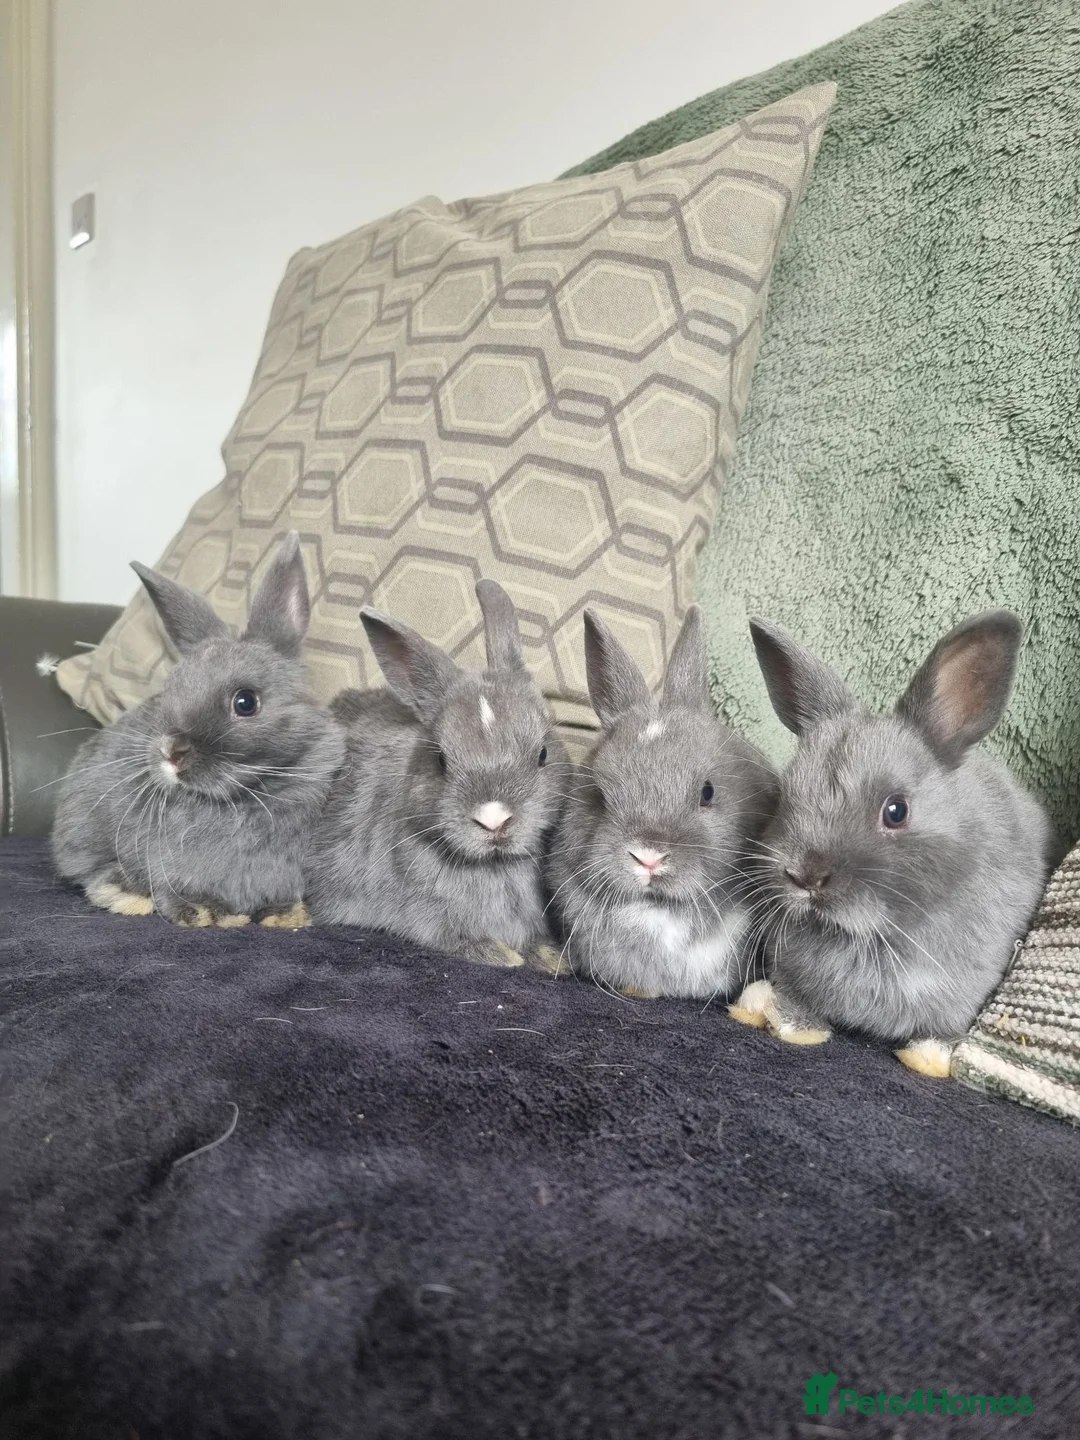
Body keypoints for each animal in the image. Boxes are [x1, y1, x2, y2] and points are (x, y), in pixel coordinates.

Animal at [52, 532, 345, 928]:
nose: (170, 750)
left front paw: (285, 916)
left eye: (246, 702)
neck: (246, 800)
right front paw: (207, 913)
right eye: (170, 690)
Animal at [306, 579, 570, 968]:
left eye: (543, 753)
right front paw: (500, 955)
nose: (494, 819)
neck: (494, 866)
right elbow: (448, 936)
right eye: (441, 760)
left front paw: (551, 956)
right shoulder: (421, 913)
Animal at [728, 610, 1054, 1076]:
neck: (868, 937)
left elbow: (943, 1032)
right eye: (784, 796)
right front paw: (791, 1024)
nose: (803, 875)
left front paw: (930, 1057)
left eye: (896, 811)